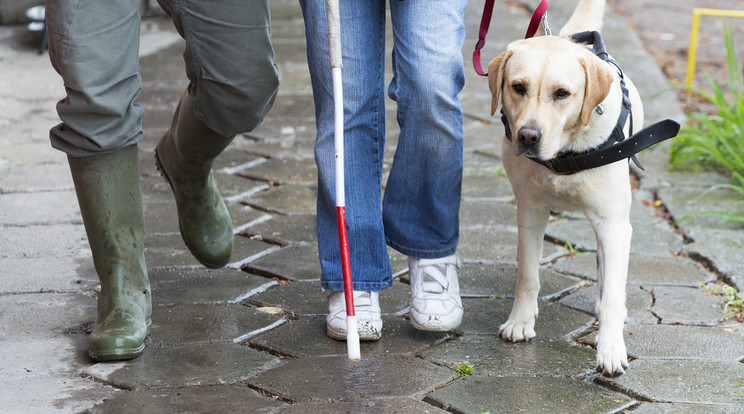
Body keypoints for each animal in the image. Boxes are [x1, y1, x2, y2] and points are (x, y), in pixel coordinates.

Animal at [486, 0, 644, 376]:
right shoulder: (530, 212)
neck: (564, 153)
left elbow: (612, 291)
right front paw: (520, 321)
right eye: (518, 87)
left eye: (562, 93)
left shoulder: (613, 224)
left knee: (607, 272)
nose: (528, 136)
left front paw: (610, 347)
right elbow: (527, 275)